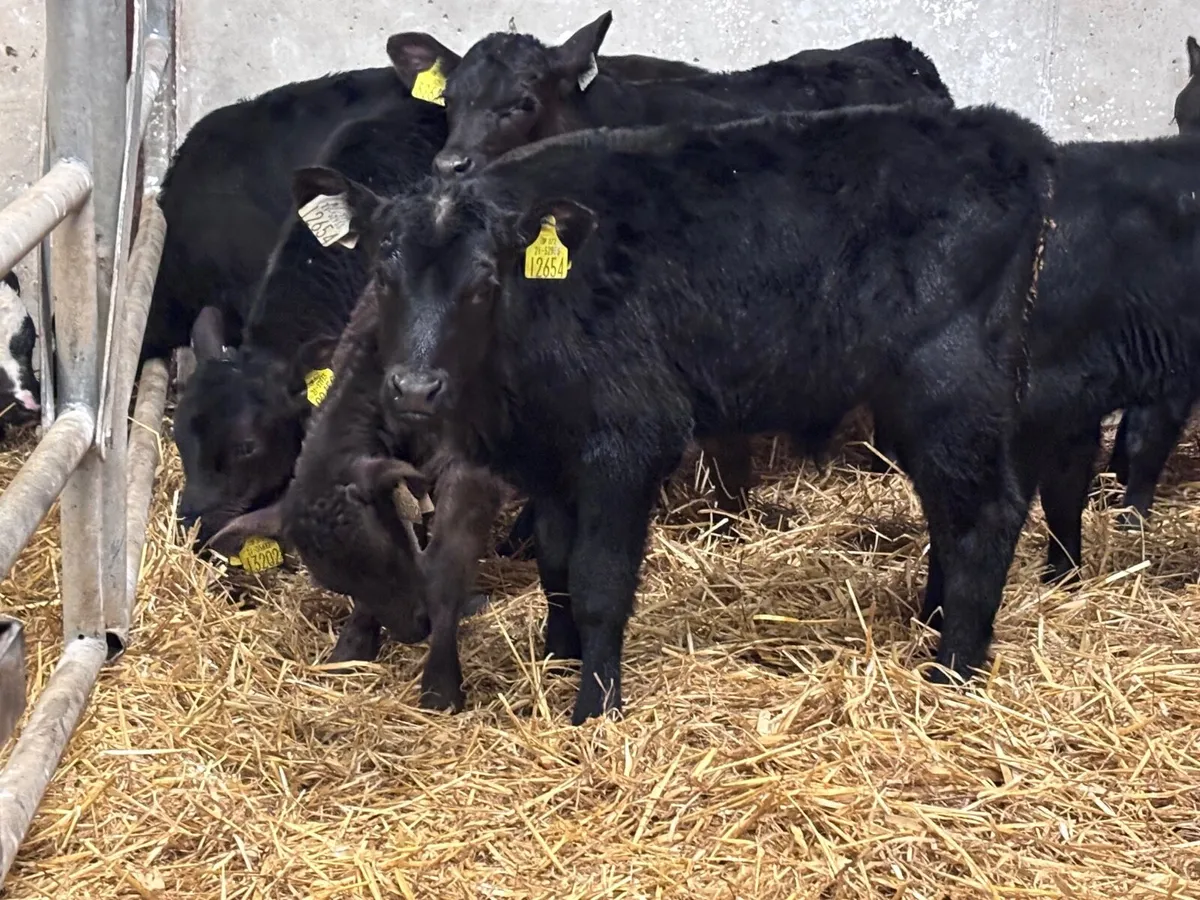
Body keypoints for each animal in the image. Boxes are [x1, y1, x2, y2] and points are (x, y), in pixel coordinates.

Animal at [309, 99, 1056, 723]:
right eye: (382, 272)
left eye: (484, 281)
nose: (414, 388)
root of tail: (1008, 133)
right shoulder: (550, 454)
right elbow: (556, 564)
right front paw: (561, 653)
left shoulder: (627, 438)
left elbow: (599, 578)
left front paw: (595, 707)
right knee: (950, 508)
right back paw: (934, 623)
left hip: (950, 382)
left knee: (988, 511)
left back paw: (954, 666)